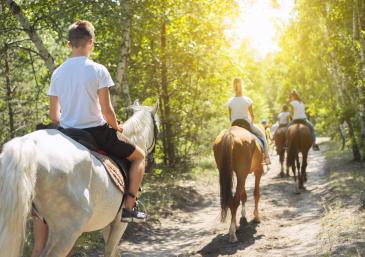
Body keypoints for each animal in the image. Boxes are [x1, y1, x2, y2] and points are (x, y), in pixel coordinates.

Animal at [0, 102, 158, 256]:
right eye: (157, 126)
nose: (152, 161)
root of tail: (29, 143)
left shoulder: (107, 224)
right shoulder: (120, 223)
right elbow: (110, 251)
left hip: (40, 223)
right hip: (68, 230)